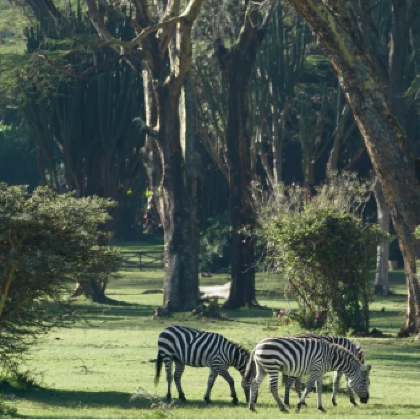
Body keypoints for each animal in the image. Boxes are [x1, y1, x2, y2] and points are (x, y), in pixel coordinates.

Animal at [244, 336, 372, 412]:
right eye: (364, 382)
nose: (365, 400)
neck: (331, 357)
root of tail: (257, 346)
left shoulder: (320, 372)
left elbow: (319, 389)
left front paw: (320, 407)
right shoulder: (315, 369)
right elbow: (309, 387)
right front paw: (299, 405)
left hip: (262, 368)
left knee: (254, 384)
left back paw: (252, 407)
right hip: (272, 368)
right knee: (273, 388)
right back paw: (282, 408)